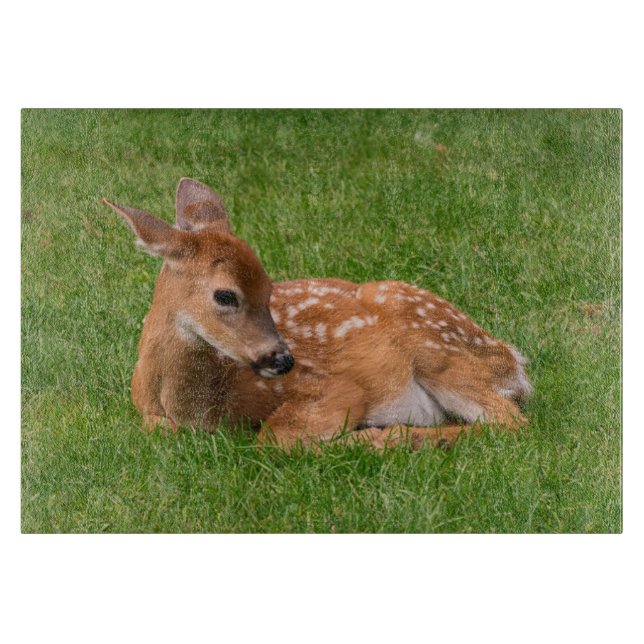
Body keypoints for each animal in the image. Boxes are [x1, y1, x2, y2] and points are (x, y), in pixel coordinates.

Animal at [103, 178, 532, 450]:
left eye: (270, 288)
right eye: (225, 295)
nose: (283, 359)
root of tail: (513, 361)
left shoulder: (335, 387)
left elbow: (274, 438)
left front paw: (367, 436)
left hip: (439, 351)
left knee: (511, 422)